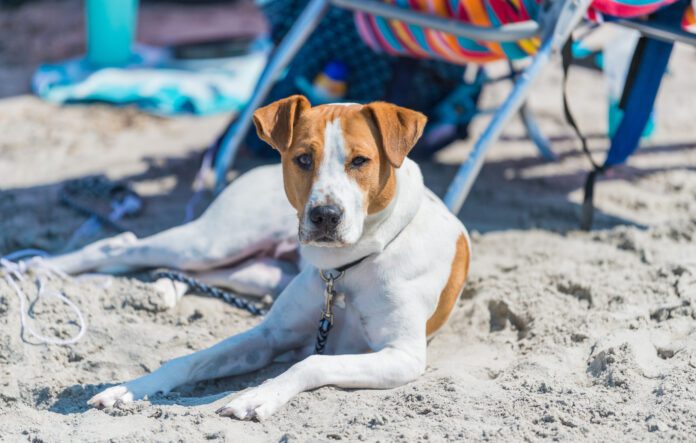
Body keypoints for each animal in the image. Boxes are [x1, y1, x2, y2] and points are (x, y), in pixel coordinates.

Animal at [50, 95, 474, 422]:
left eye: (360, 161)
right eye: (303, 159)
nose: (325, 215)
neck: (344, 270)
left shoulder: (403, 355)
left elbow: (312, 362)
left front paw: (257, 395)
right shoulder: (269, 335)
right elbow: (189, 359)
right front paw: (131, 388)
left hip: (257, 271)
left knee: (193, 271)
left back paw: (162, 289)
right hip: (214, 241)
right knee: (122, 245)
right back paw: (44, 266)